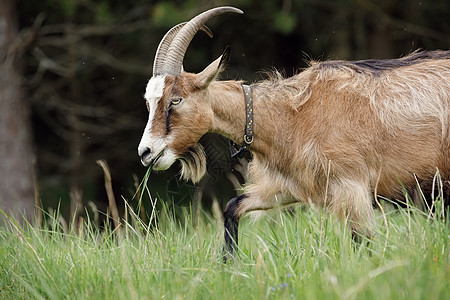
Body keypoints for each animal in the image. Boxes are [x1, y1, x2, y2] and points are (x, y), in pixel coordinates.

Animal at [137, 5, 450, 258]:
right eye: (149, 102)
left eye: (175, 99)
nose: (146, 152)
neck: (292, 117)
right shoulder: (290, 185)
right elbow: (233, 206)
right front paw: (230, 265)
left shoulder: (351, 186)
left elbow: (362, 242)